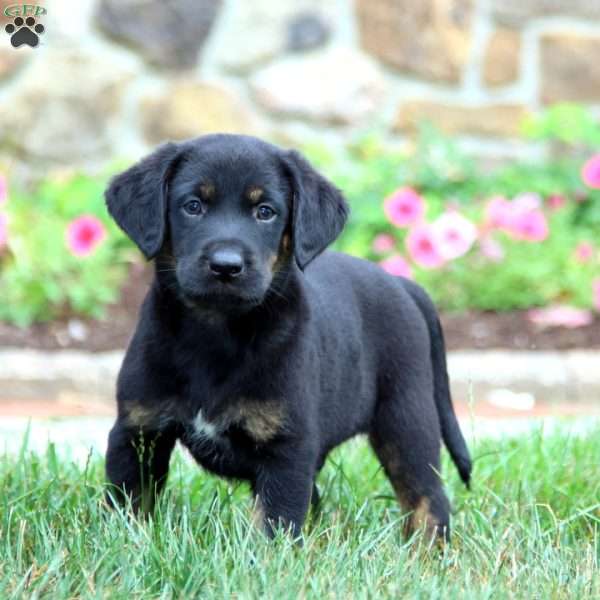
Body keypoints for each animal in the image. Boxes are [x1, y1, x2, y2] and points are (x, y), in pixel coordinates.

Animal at [103, 135, 472, 540]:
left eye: (265, 211)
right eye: (193, 206)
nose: (226, 266)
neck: (216, 332)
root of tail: (402, 284)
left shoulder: (287, 448)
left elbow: (276, 524)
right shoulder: (137, 431)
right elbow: (128, 505)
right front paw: (126, 542)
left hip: (407, 416)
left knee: (427, 497)